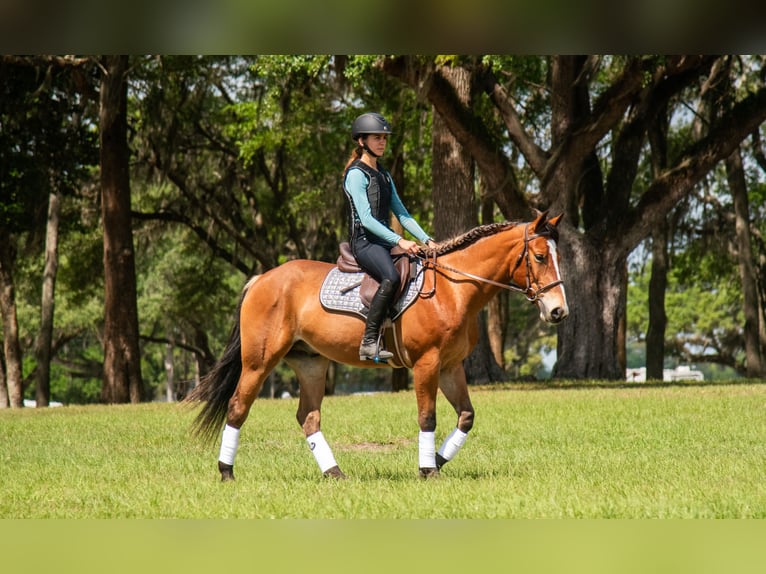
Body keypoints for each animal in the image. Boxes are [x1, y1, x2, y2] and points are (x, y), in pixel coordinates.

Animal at [185, 210, 568, 480]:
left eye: (557, 256)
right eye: (539, 257)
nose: (558, 311)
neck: (452, 289)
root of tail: (262, 278)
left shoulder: (450, 366)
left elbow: (466, 417)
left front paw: (437, 460)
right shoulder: (427, 363)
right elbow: (427, 416)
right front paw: (428, 469)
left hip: (311, 363)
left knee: (308, 417)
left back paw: (334, 473)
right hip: (259, 362)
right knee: (238, 407)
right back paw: (226, 472)